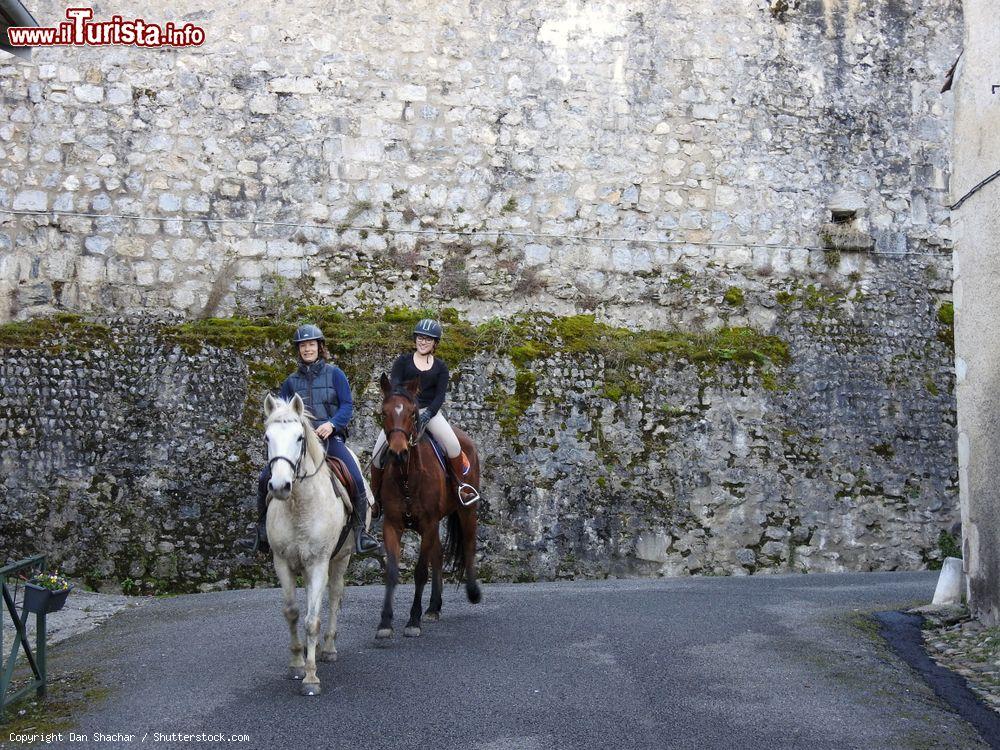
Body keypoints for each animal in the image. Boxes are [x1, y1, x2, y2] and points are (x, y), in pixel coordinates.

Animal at [262, 394, 364, 700]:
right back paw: (315, 648)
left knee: (334, 598)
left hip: (340, 559)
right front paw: (297, 663)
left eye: (299, 437)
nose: (280, 486)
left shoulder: (319, 562)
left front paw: (310, 677)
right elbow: (293, 613)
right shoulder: (282, 562)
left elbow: (312, 620)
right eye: (267, 437)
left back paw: (327, 648)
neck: (300, 506)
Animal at [376, 370, 484, 640]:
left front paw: (413, 621)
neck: (406, 476)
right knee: (439, 553)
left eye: (412, 413)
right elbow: (392, 572)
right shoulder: (392, 525)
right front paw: (385, 623)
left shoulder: (428, 524)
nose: (398, 453)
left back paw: (473, 592)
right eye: (384, 412)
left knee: (468, 545)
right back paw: (434, 606)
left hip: (466, 510)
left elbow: (420, 572)